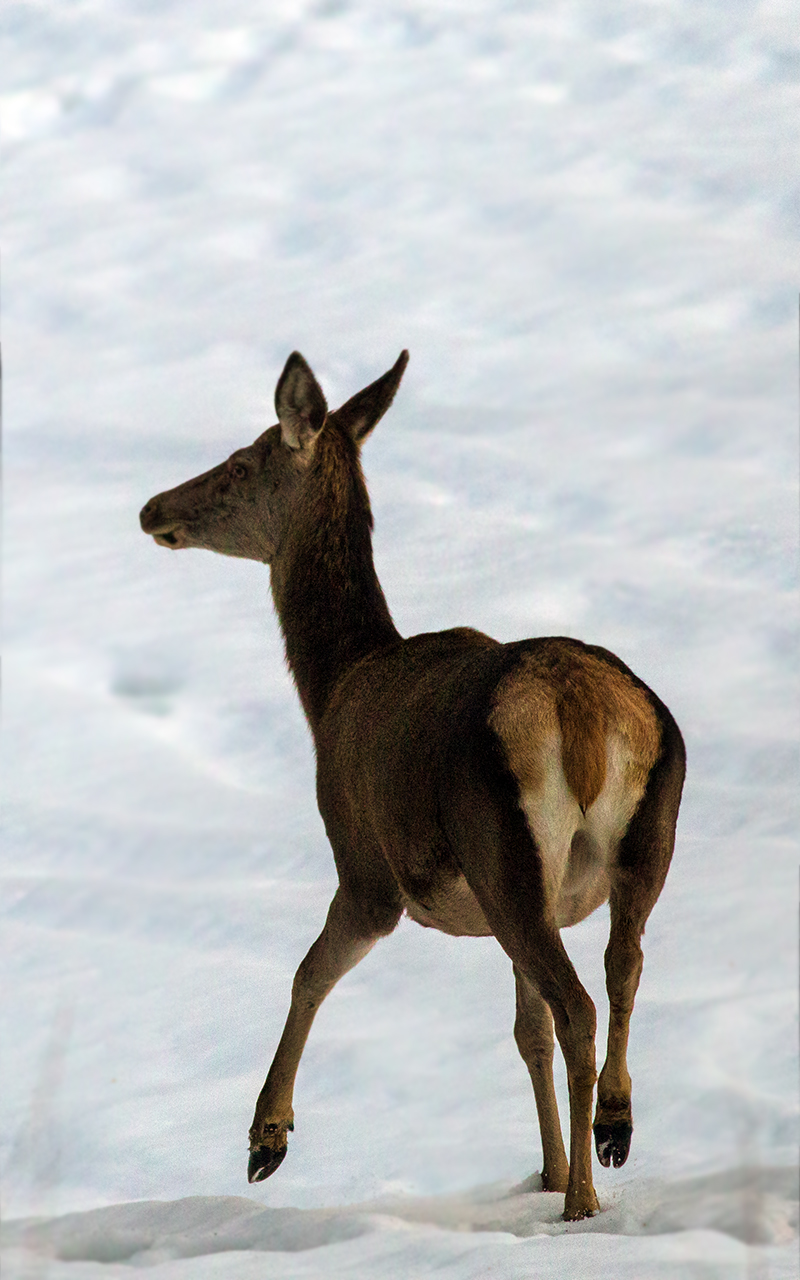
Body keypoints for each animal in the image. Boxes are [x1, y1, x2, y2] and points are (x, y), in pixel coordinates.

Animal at [140, 350, 685, 1221]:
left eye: (240, 462)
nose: (154, 508)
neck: (330, 687)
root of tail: (582, 710)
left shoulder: (364, 864)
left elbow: (309, 971)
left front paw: (266, 1137)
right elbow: (524, 1032)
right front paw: (544, 1169)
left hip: (500, 847)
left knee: (579, 1004)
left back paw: (584, 1199)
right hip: (637, 839)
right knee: (621, 968)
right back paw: (611, 1131)